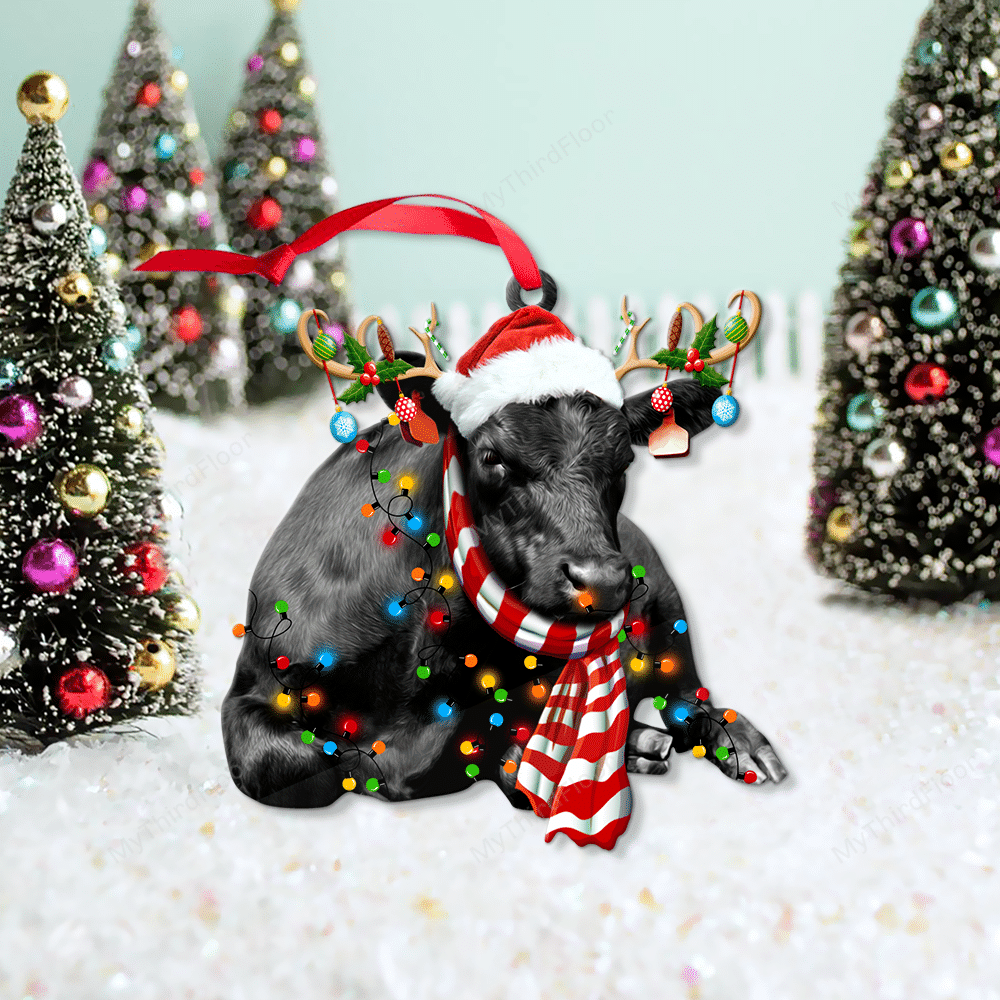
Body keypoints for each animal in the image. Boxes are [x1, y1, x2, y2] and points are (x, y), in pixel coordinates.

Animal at [221, 301, 789, 819]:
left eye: (626, 460)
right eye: (492, 457)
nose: (603, 580)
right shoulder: (252, 696)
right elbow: (319, 763)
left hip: (668, 611)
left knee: (689, 699)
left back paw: (740, 748)